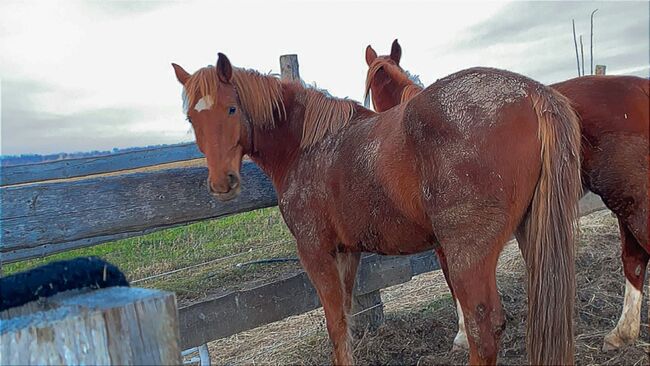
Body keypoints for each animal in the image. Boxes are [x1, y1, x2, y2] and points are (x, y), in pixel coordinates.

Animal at [171, 53, 576, 364]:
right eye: (192, 119)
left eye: (231, 109)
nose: (222, 183)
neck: (306, 147)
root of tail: (531, 92)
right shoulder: (347, 252)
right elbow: (348, 318)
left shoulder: (315, 251)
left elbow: (335, 324)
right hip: (531, 234)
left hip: (469, 254)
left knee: (484, 329)